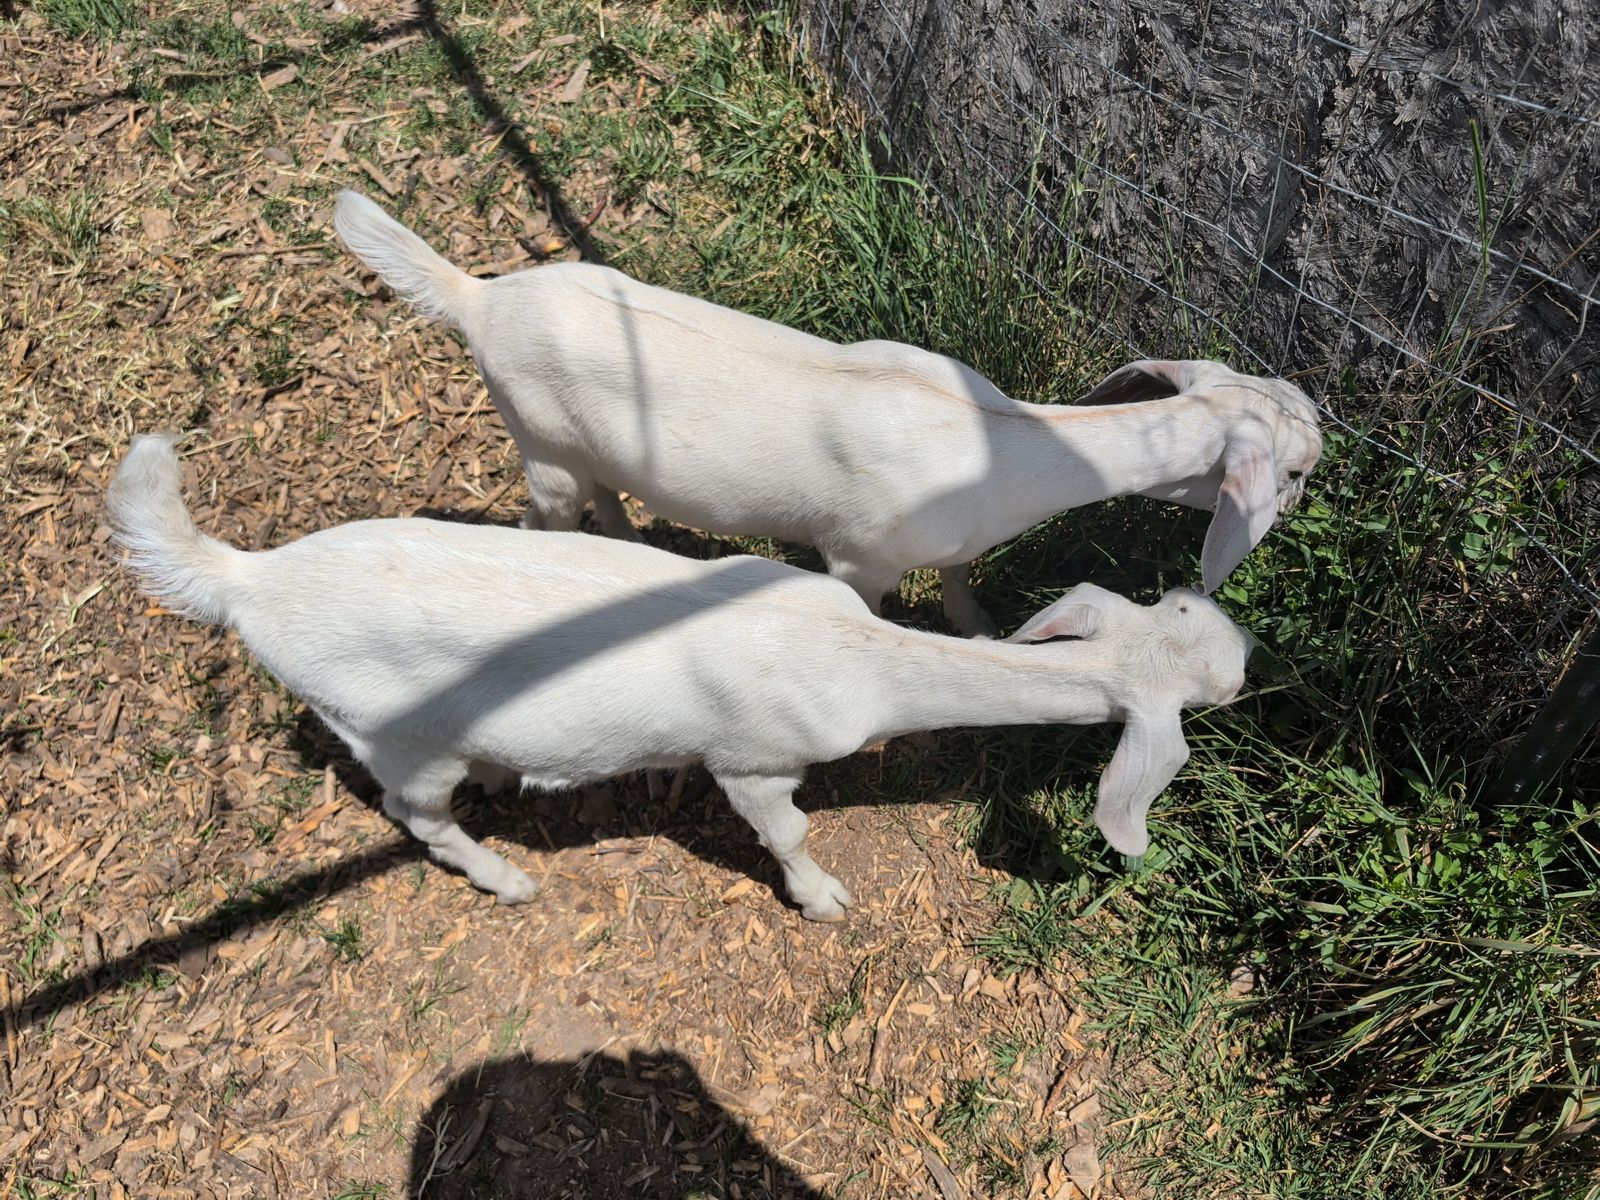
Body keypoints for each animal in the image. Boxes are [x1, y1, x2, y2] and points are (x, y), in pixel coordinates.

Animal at [108, 435, 1257, 919]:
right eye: (1203, 705)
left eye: (1188, 613)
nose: (1249, 660)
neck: (856, 660)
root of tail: (248, 581)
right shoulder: (752, 757)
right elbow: (784, 831)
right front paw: (824, 901)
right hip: (390, 731)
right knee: (412, 812)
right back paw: (504, 875)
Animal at [333, 190, 1323, 636]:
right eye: (1295, 473)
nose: (1320, 467)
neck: (1005, 447)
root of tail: (478, 298)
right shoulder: (857, 556)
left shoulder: (952, 539)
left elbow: (960, 587)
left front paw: (980, 630)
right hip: (537, 440)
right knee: (544, 517)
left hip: (583, 446)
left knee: (607, 497)